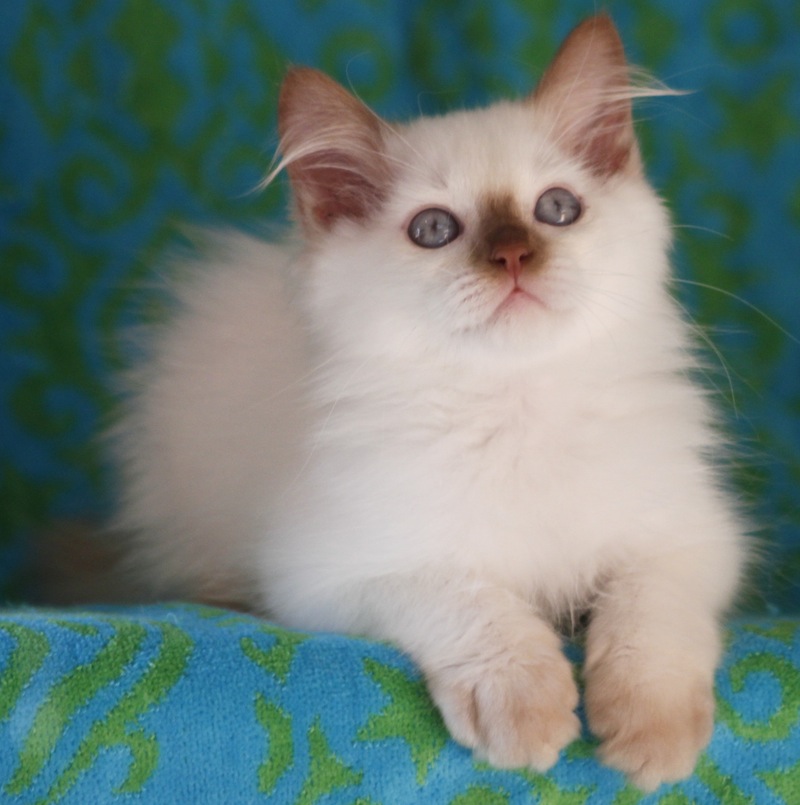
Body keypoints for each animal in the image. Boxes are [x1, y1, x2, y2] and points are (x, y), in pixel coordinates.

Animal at [109, 15, 748, 788]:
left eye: (556, 210)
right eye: (435, 230)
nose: (513, 255)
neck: (516, 405)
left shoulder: (689, 538)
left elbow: (648, 624)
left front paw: (652, 735)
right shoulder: (336, 573)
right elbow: (473, 603)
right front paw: (526, 713)